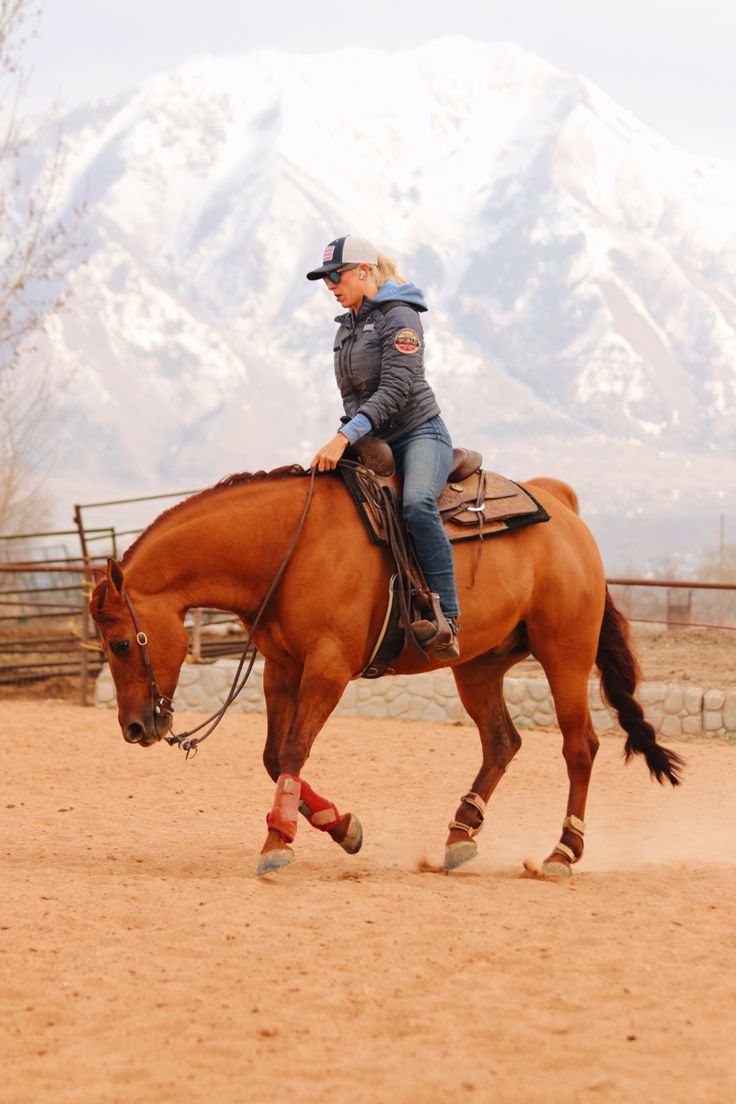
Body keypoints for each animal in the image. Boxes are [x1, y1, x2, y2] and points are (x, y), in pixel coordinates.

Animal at [92, 465, 684, 878]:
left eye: (121, 643)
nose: (135, 728)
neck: (288, 546)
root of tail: (562, 507)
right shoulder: (281, 668)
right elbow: (273, 756)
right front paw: (342, 827)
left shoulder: (328, 668)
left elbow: (293, 750)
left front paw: (278, 841)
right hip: (478, 665)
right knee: (501, 742)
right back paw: (459, 836)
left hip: (565, 653)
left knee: (579, 746)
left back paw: (562, 852)